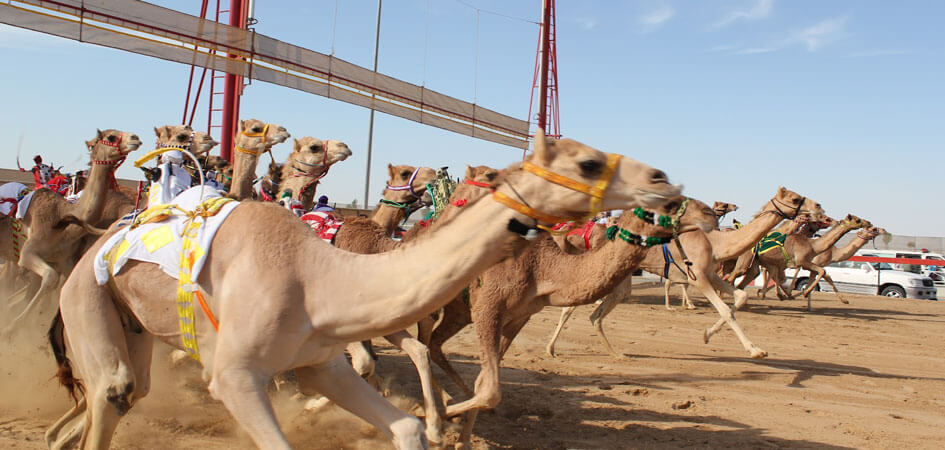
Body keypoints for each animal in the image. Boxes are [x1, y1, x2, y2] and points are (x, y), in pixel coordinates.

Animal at [48, 128, 684, 448]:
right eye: (588, 163)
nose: (663, 181)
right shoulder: (236, 372)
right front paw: (445, 418)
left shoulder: (322, 356)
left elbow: (402, 409)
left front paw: (437, 421)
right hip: (84, 298)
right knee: (114, 389)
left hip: (135, 327)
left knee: (118, 394)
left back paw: (61, 430)